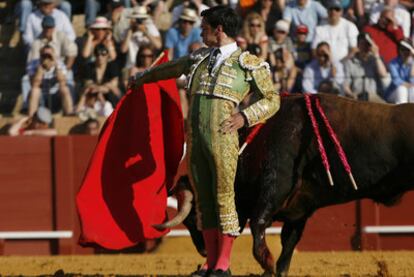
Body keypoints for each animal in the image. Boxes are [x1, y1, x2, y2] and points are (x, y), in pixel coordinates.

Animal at [175, 93, 414, 276]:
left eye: (193, 219)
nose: (204, 252)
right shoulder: (298, 211)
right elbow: (287, 246)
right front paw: (274, 270)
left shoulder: (275, 187)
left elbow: (258, 225)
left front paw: (268, 264)